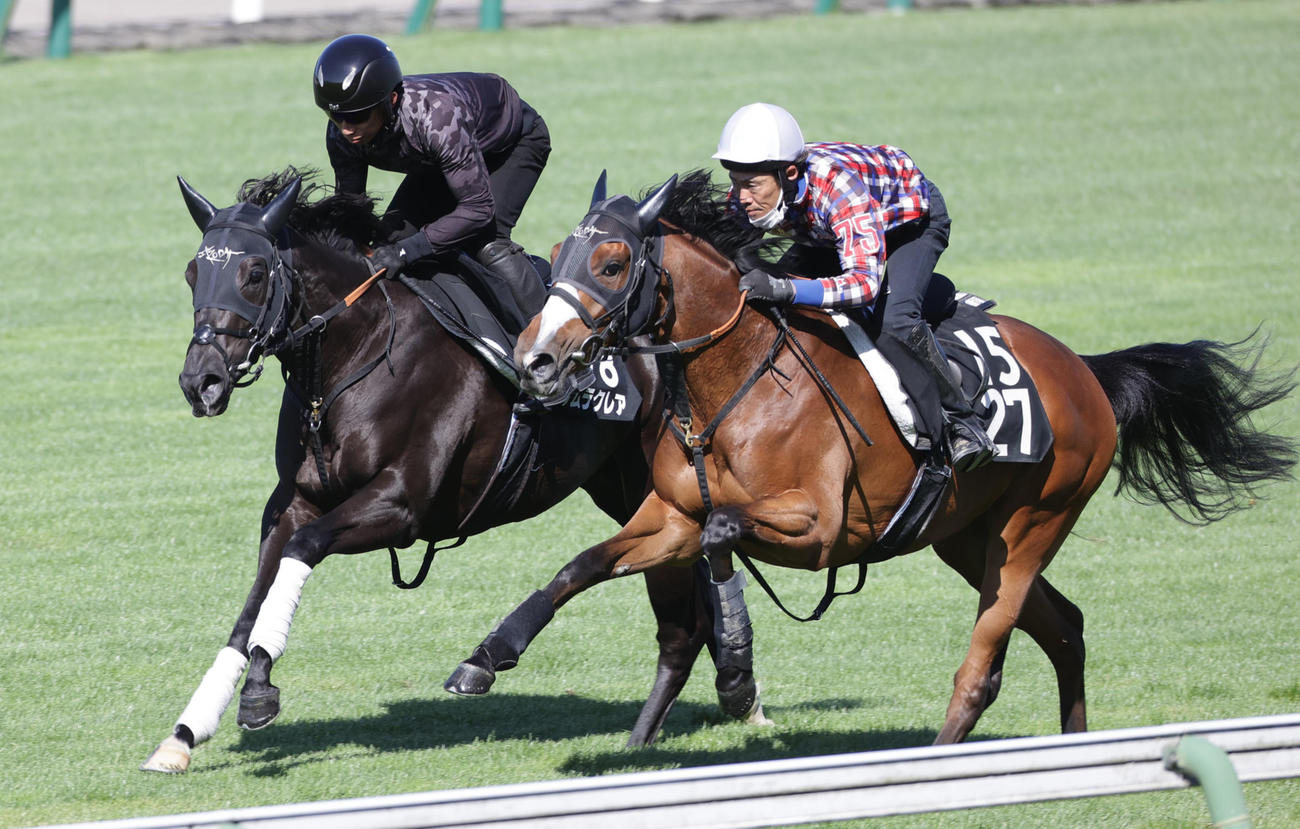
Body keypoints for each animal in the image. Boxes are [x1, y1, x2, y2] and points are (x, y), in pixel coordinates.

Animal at [141, 168, 765, 773]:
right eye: (194, 272)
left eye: (251, 273)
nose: (202, 381)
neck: (354, 354)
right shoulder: (291, 502)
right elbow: (252, 605)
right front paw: (186, 733)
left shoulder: (401, 506)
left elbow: (302, 551)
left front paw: (258, 692)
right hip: (625, 488)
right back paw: (734, 694)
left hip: (645, 486)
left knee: (684, 619)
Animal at [450, 169, 1296, 746]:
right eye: (556, 254)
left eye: (613, 262)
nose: (536, 359)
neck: (739, 377)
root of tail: (1085, 371)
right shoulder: (671, 512)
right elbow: (583, 564)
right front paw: (487, 655)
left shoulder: (821, 526)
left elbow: (723, 536)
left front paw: (736, 673)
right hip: (968, 536)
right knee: (1065, 627)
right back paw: (1073, 747)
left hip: (1034, 523)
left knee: (984, 662)